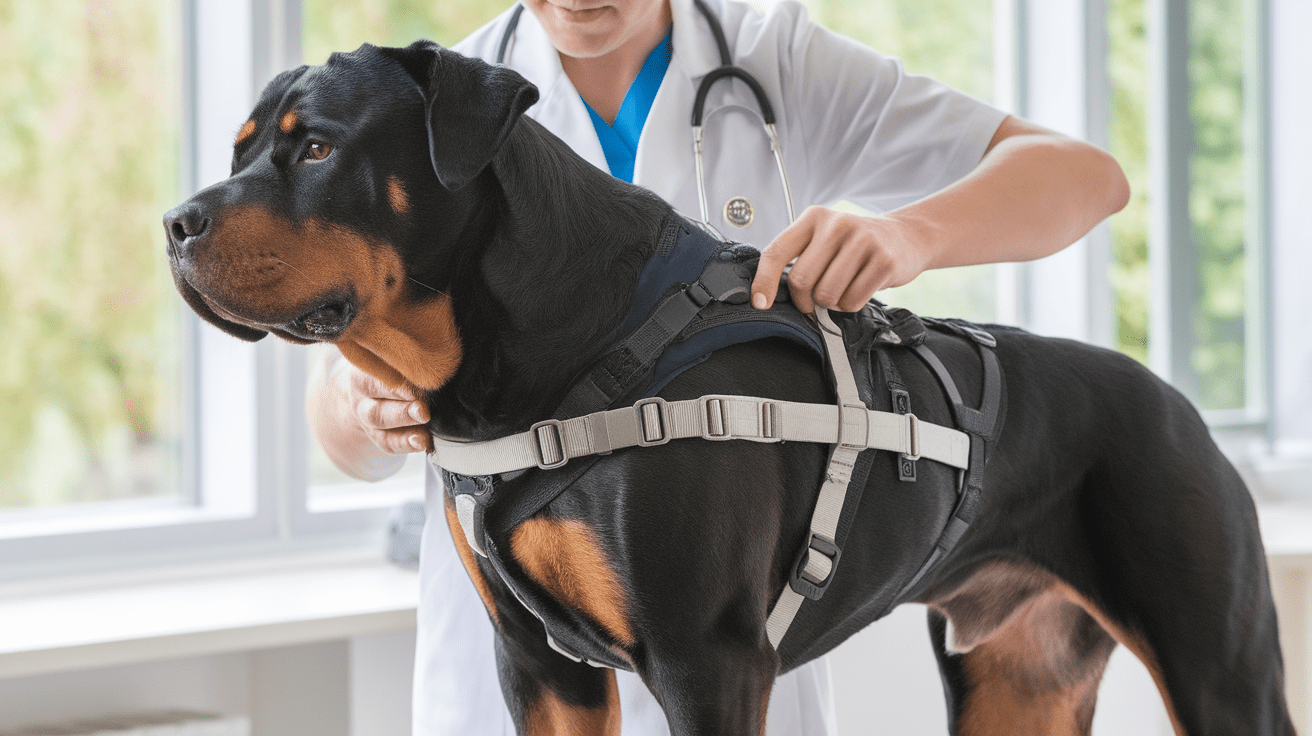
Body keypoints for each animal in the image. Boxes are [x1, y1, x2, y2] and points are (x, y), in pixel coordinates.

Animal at [161, 41, 1291, 734]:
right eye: (241, 148)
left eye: (316, 145)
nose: (175, 222)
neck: (553, 357)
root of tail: (1179, 404)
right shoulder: (539, 665)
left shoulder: (706, 658)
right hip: (1020, 674)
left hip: (1218, 666)